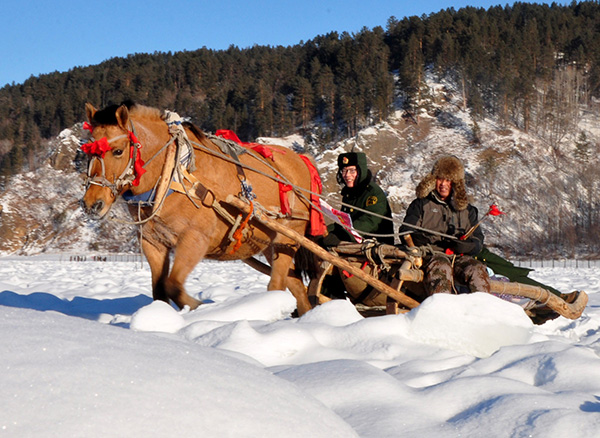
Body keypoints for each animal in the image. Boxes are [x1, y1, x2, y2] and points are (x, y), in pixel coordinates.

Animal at [80, 102, 326, 314]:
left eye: (118, 151)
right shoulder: (153, 243)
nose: (92, 204)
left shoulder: (195, 239)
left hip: (289, 236)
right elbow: (160, 290)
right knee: (297, 288)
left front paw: (199, 307)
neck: (172, 173)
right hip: (270, 242)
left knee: (277, 285)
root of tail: (301, 159)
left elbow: (173, 285)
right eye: (88, 152)